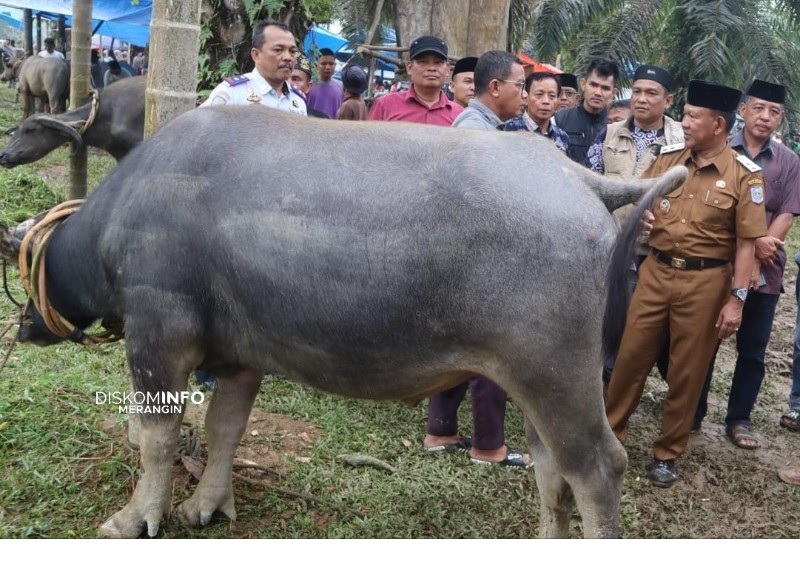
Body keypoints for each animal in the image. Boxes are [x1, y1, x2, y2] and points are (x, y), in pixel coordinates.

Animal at [0, 106, 688, 536]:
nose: (25, 324)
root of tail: (582, 179)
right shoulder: (240, 358)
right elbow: (225, 430)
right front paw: (207, 505)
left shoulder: (157, 337)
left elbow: (157, 437)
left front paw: (135, 517)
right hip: (536, 383)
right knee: (553, 471)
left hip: (556, 377)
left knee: (597, 469)